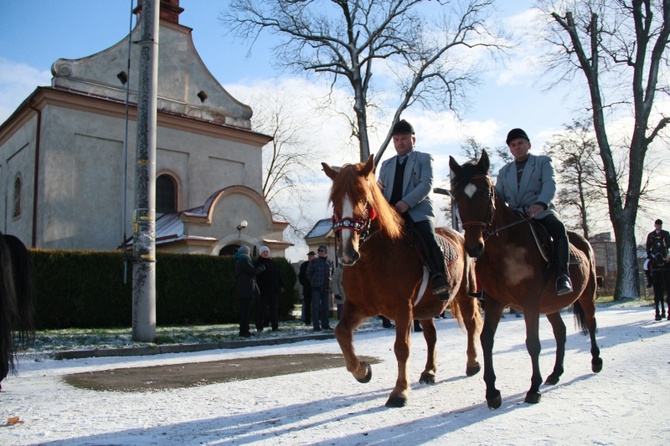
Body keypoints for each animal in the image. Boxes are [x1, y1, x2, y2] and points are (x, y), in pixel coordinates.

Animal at [322, 157, 484, 408]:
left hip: (465, 294)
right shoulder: (359, 307)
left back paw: (473, 363)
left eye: (364, 200)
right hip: (426, 308)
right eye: (335, 201)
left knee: (471, 324)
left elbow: (401, 348)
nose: (348, 253)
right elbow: (341, 333)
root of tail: (457, 234)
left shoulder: (403, 309)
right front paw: (362, 371)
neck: (372, 259)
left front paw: (399, 391)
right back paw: (429, 371)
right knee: (431, 335)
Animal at [452, 152, 604, 410]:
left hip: (587, 294)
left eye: (486, 193)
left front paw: (533, 389)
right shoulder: (494, 302)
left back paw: (596, 361)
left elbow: (533, 343)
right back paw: (555, 373)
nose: (473, 247)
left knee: (592, 324)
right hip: (551, 304)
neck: (504, 250)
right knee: (560, 332)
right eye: (458, 195)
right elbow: (486, 340)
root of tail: (581, 238)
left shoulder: (530, 302)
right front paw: (492, 392)